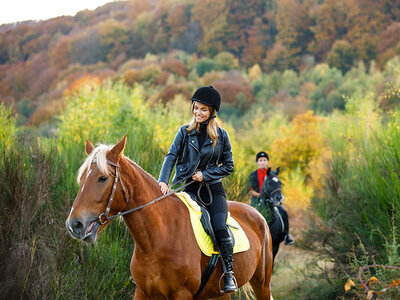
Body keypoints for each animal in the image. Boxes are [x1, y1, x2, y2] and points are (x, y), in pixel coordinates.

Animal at [65, 135, 274, 298]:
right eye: (82, 179)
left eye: (102, 178)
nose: (74, 224)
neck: (157, 241)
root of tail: (257, 215)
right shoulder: (142, 292)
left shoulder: (182, 294)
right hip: (219, 294)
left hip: (262, 284)